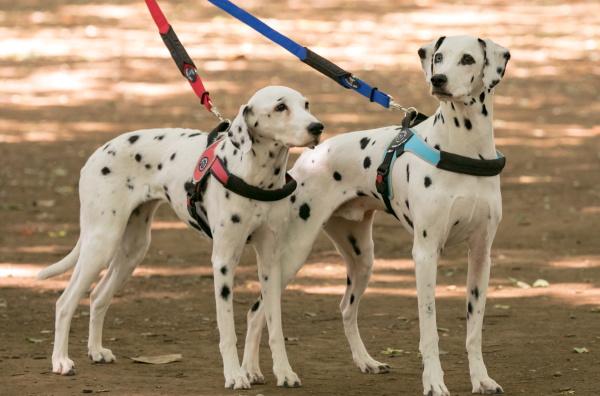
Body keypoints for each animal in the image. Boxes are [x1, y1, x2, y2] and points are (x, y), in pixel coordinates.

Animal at [37, 86, 324, 390]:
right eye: (280, 107)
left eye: (306, 104)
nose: (317, 127)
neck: (256, 177)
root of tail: (97, 153)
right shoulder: (224, 262)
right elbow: (227, 330)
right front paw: (234, 376)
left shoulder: (270, 262)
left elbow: (274, 325)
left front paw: (284, 372)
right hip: (101, 244)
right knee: (65, 303)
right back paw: (61, 361)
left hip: (132, 251)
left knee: (97, 296)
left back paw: (96, 351)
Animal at [241, 35, 508, 394]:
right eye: (438, 57)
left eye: (468, 59)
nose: (438, 80)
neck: (464, 148)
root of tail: (311, 157)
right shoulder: (426, 254)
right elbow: (429, 332)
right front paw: (434, 382)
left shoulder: (481, 255)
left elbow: (474, 330)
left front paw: (481, 378)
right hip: (291, 255)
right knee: (258, 311)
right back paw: (252, 370)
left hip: (362, 259)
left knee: (345, 309)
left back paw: (365, 361)